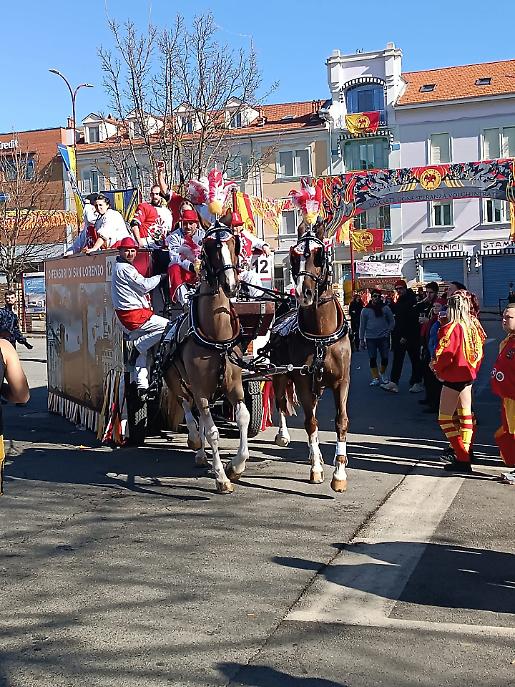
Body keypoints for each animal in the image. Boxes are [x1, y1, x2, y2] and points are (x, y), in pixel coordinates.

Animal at [162, 221, 250, 494]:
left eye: (234, 243)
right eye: (210, 247)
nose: (231, 285)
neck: (217, 335)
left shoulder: (234, 385)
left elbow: (243, 417)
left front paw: (236, 466)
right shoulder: (200, 388)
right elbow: (212, 432)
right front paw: (221, 477)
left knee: (200, 415)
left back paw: (203, 455)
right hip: (178, 383)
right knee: (189, 411)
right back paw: (195, 443)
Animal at [269, 219, 352, 492]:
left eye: (319, 255)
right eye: (294, 257)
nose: (303, 294)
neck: (321, 337)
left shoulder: (341, 382)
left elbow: (340, 421)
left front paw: (339, 472)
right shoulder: (303, 381)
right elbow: (310, 423)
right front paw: (317, 468)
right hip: (280, 376)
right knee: (281, 403)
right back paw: (284, 436)